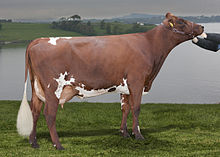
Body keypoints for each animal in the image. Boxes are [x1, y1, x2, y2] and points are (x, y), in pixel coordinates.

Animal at [16, 12, 204, 150]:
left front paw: (125, 133)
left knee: (35, 111)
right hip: (53, 86)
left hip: (37, 87)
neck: (150, 46)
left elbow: (125, 109)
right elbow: (136, 109)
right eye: (181, 22)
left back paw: (34, 142)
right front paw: (138, 135)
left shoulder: (125, 86)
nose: (201, 26)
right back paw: (58, 145)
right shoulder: (137, 81)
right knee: (49, 114)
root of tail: (38, 40)